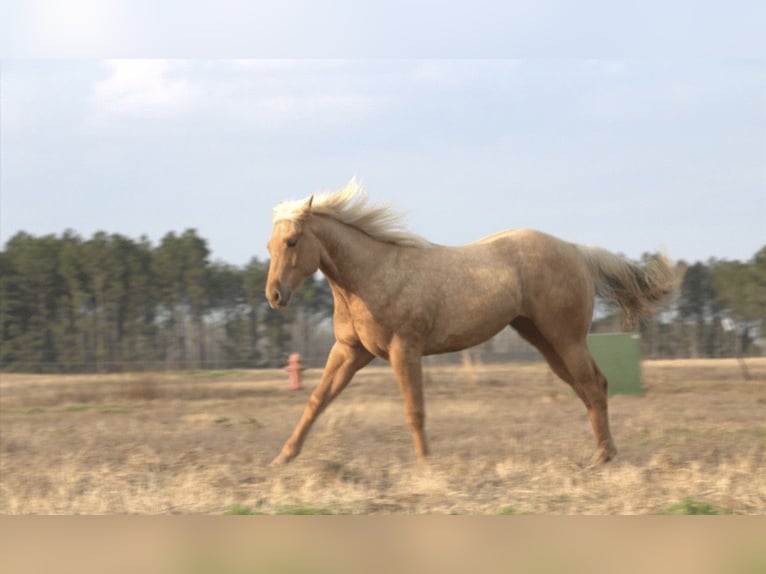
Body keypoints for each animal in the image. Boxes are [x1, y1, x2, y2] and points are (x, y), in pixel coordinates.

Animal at [265, 179, 678, 467]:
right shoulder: (350, 351)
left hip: (567, 338)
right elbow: (317, 400)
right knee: (586, 387)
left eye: (293, 241)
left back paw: (603, 457)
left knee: (594, 384)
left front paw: (426, 468)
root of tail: (576, 250)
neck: (371, 275)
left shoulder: (404, 350)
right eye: (270, 245)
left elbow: (414, 411)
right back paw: (600, 453)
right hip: (544, 340)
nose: (274, 295)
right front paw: (281, 458)